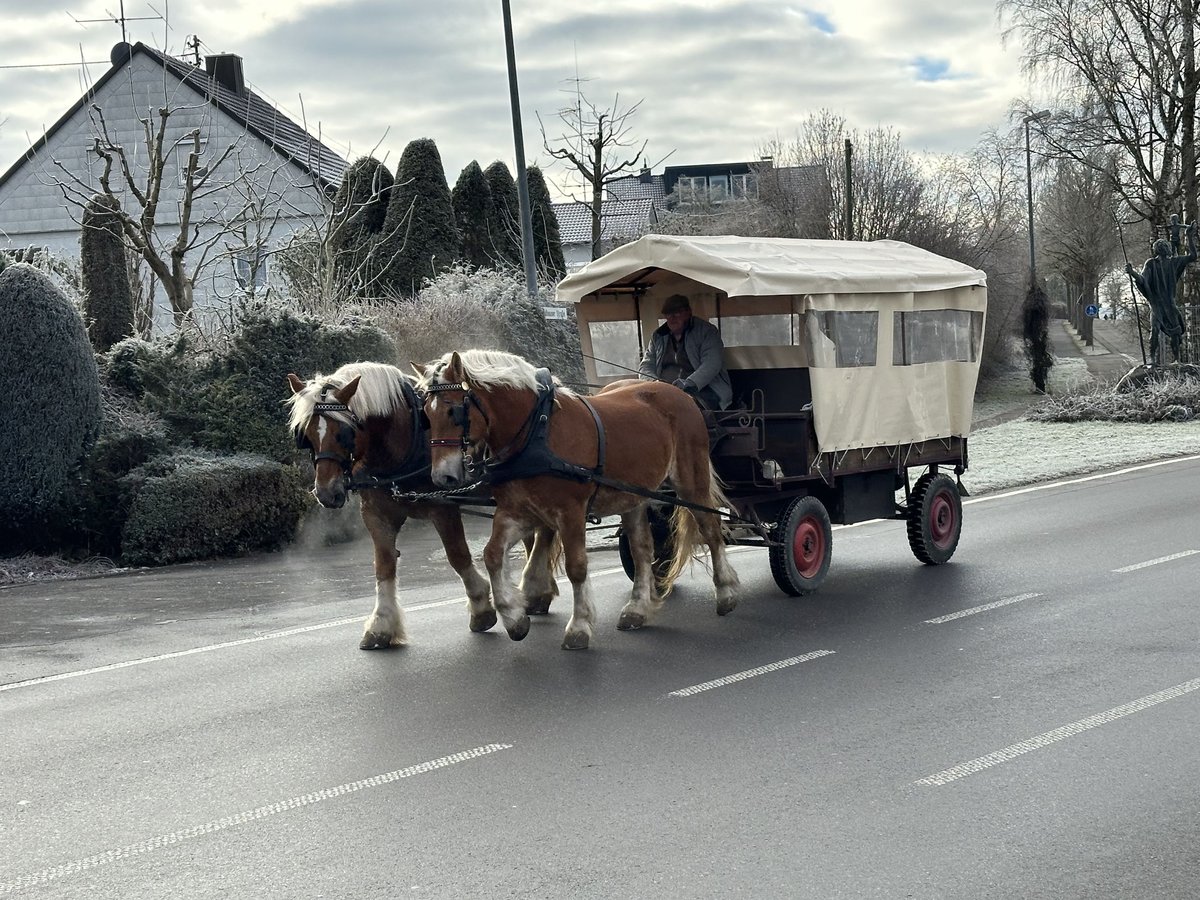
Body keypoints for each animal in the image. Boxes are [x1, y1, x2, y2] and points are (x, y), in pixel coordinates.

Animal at [285, 362, 556, 652]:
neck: (404, 436)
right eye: (306, 435)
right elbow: (383, 565)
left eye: (343, 432)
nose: (326, 493)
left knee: (544, 533)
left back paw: (535, 589)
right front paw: (381, 624)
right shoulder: (376, 514)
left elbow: (458, 555)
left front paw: (481, 607)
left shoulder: (443, 506)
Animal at [415, 348, 739, 652]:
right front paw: (514, 617)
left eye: (454, 411)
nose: (442, 477)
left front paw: (579, 626)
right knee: (642, 550)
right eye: (426, 415)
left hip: (691, 482)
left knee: (711, 530)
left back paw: (726, 593)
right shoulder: (518, 512)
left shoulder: (570, 512)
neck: (536, 431)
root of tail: (677, 391)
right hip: (632, 497)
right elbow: (492, 554)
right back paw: (637, 609)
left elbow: (577, 567)